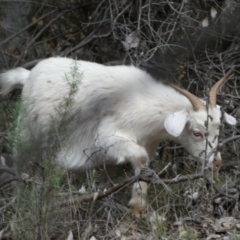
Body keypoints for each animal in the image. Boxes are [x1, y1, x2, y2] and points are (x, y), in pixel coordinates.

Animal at [0, 57, 236, 217]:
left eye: (219, 129)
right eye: (196, 132)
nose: (217, 162)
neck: (145, 102)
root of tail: (28, 76)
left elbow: (144, 166)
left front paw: (137, 207)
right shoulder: (105, 138)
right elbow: (140, 157)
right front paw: (136, 204)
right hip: (26, 131)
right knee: (19, 164)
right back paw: (19, 204)